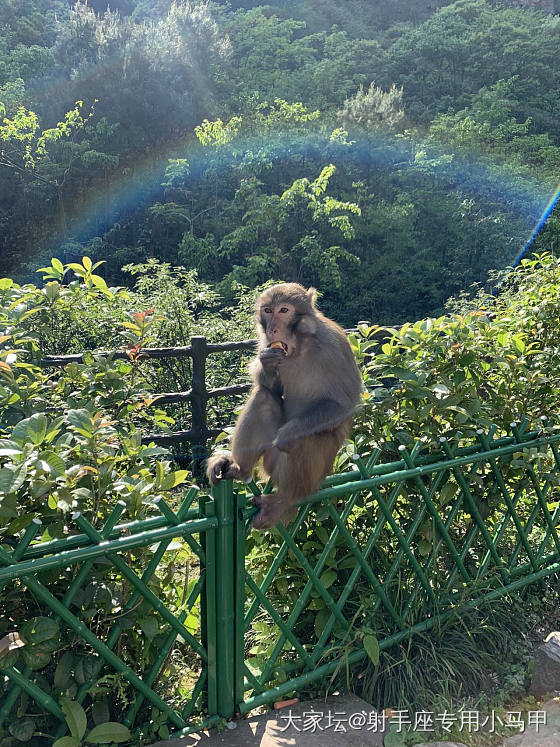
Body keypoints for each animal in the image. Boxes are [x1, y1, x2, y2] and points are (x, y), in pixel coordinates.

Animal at [207, 282, 364, 532]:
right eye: (268, 311)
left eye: (284, 310)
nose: (272, 330)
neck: (301, 345)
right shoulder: (267, 346)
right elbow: (269, 387)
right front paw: (268, 365)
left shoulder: (335, 345)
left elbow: (344, 404)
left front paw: (289, 434)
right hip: (270, 461)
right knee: (263, 398)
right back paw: (240, 469)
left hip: (316, 470)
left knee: (305, 439)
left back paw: (285, 498)